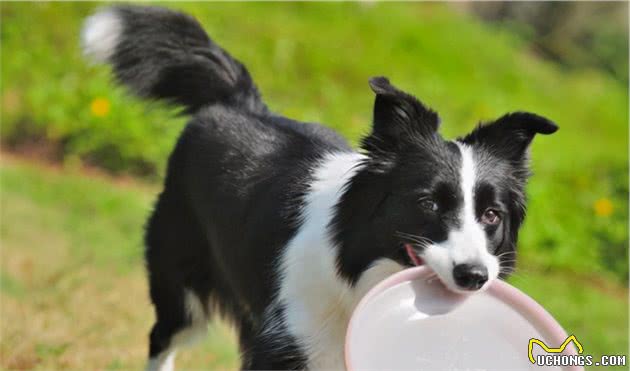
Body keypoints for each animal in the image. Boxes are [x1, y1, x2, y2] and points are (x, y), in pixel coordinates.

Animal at [82, 4, 556, 370]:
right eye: (429, 204)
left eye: (491, 215)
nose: (474, 276)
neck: (355, 271)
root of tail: (239, 100)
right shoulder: (286, 344)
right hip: (181, 283)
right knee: (163, 338)